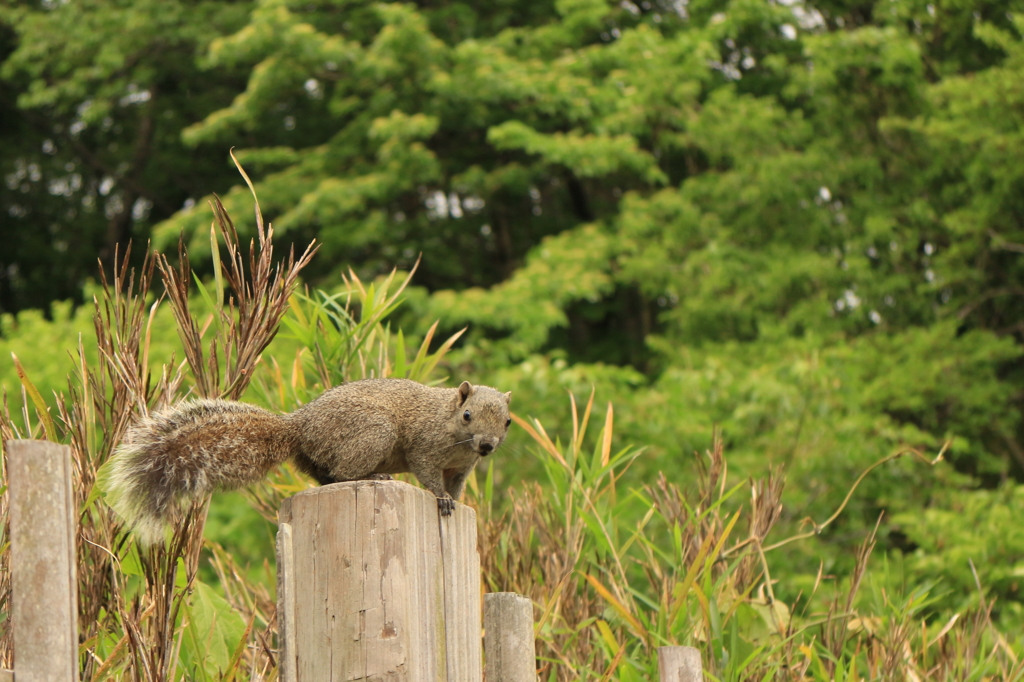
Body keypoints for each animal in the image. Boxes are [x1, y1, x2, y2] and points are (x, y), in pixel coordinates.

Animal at [103, 376, 512, 540]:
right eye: (467, 415)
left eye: (507, 421)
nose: (488, 446)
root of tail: (298, 427)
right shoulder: (424, 447)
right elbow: (427, 473)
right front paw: (440, 498)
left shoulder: (462, 467)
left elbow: (457, 485)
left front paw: (457, 502)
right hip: (373, 432)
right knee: (343, 472)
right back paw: (376, 478)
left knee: (324, 475)